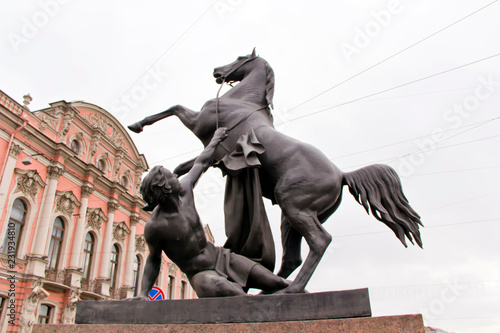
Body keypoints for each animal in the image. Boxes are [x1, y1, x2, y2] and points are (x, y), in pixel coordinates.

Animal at [127, 49, 420, 294]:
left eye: (239, 57)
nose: (216, 71)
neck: (241, 101)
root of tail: (341, 175)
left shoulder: (199, 123)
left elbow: (175, 108)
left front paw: (137, 124)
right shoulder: (214, 156)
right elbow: (183, 166)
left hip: (295, 207)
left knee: (320, 241)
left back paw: (289, 290)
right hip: (292, 217)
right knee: (293, 257)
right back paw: (269, 290)